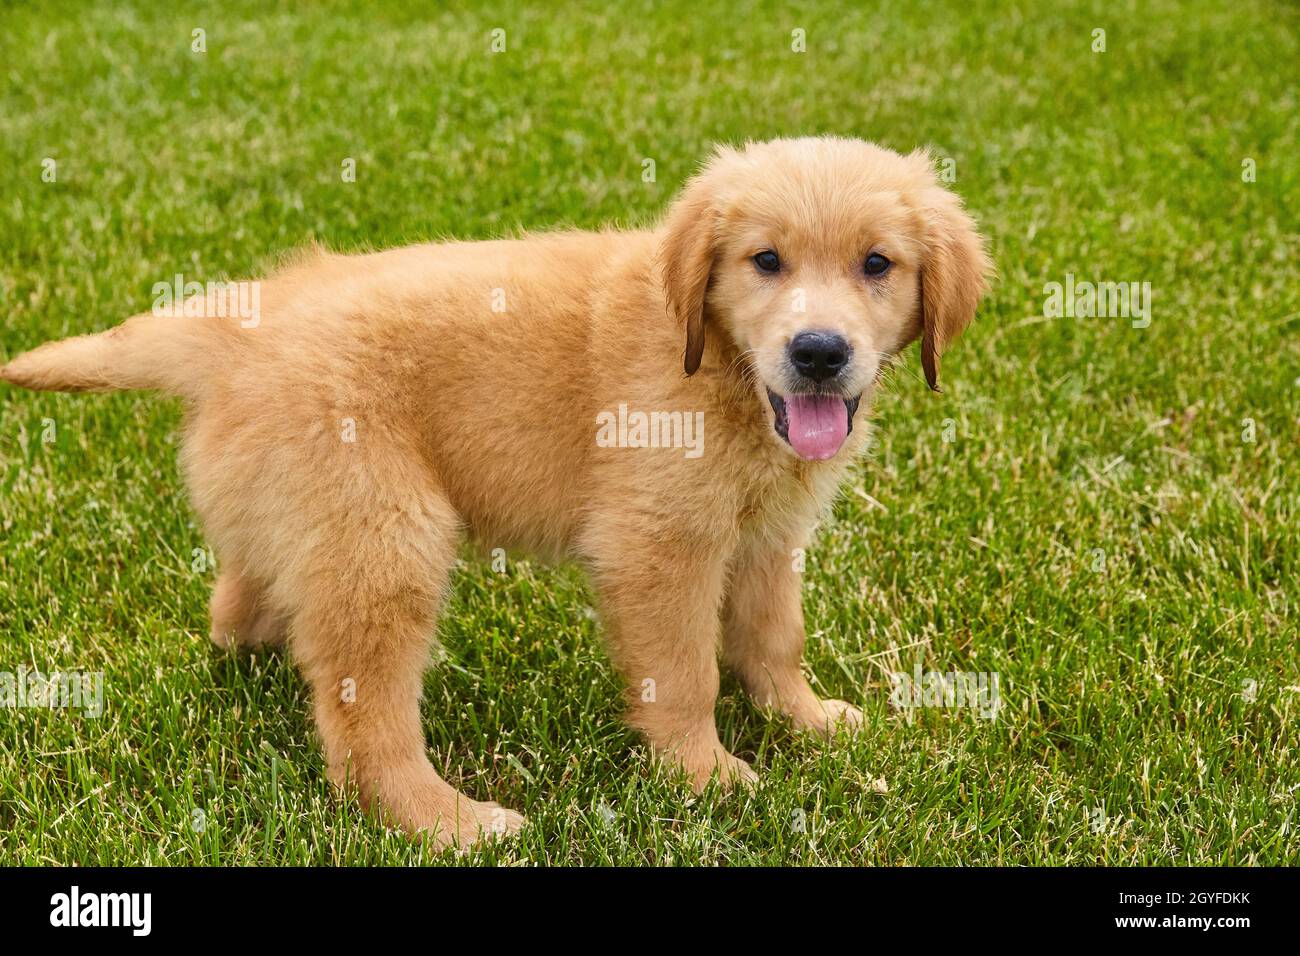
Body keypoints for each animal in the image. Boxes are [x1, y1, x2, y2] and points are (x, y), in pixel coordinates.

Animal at [5, 138, 987, 848]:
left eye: (877, 264)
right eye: (766, 261)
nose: (818, 352)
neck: (720, 366)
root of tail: (239, 330)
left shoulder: (767, 532)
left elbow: (775, 637)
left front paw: (806, 719)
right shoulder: (658, 541)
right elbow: (685, 671)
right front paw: (705, 776)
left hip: (300, 513)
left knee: (244, 599)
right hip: (387, 534)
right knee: (363, 728)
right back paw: (450, 822)